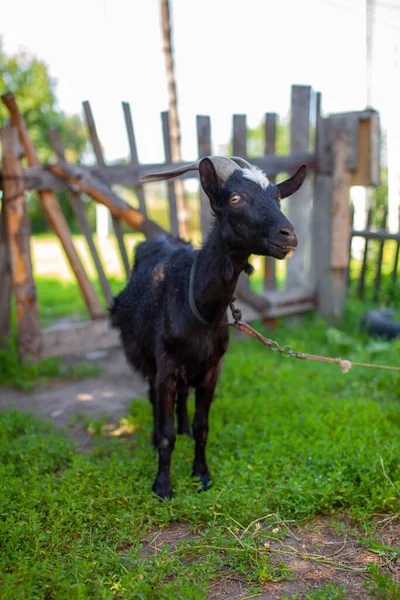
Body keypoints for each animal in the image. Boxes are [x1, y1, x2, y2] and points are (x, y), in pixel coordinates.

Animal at [111, 157, 308, 500]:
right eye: (235, 198)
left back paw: (183, 429)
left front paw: (202, 475)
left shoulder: (212, 369)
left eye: (278, 197)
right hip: (146, 355)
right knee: (153, 398)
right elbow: (166, 433)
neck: (196, 306)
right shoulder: (165, 366)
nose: (288, 235)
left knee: (182, 399)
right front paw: (163, 486)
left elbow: (203, 427)